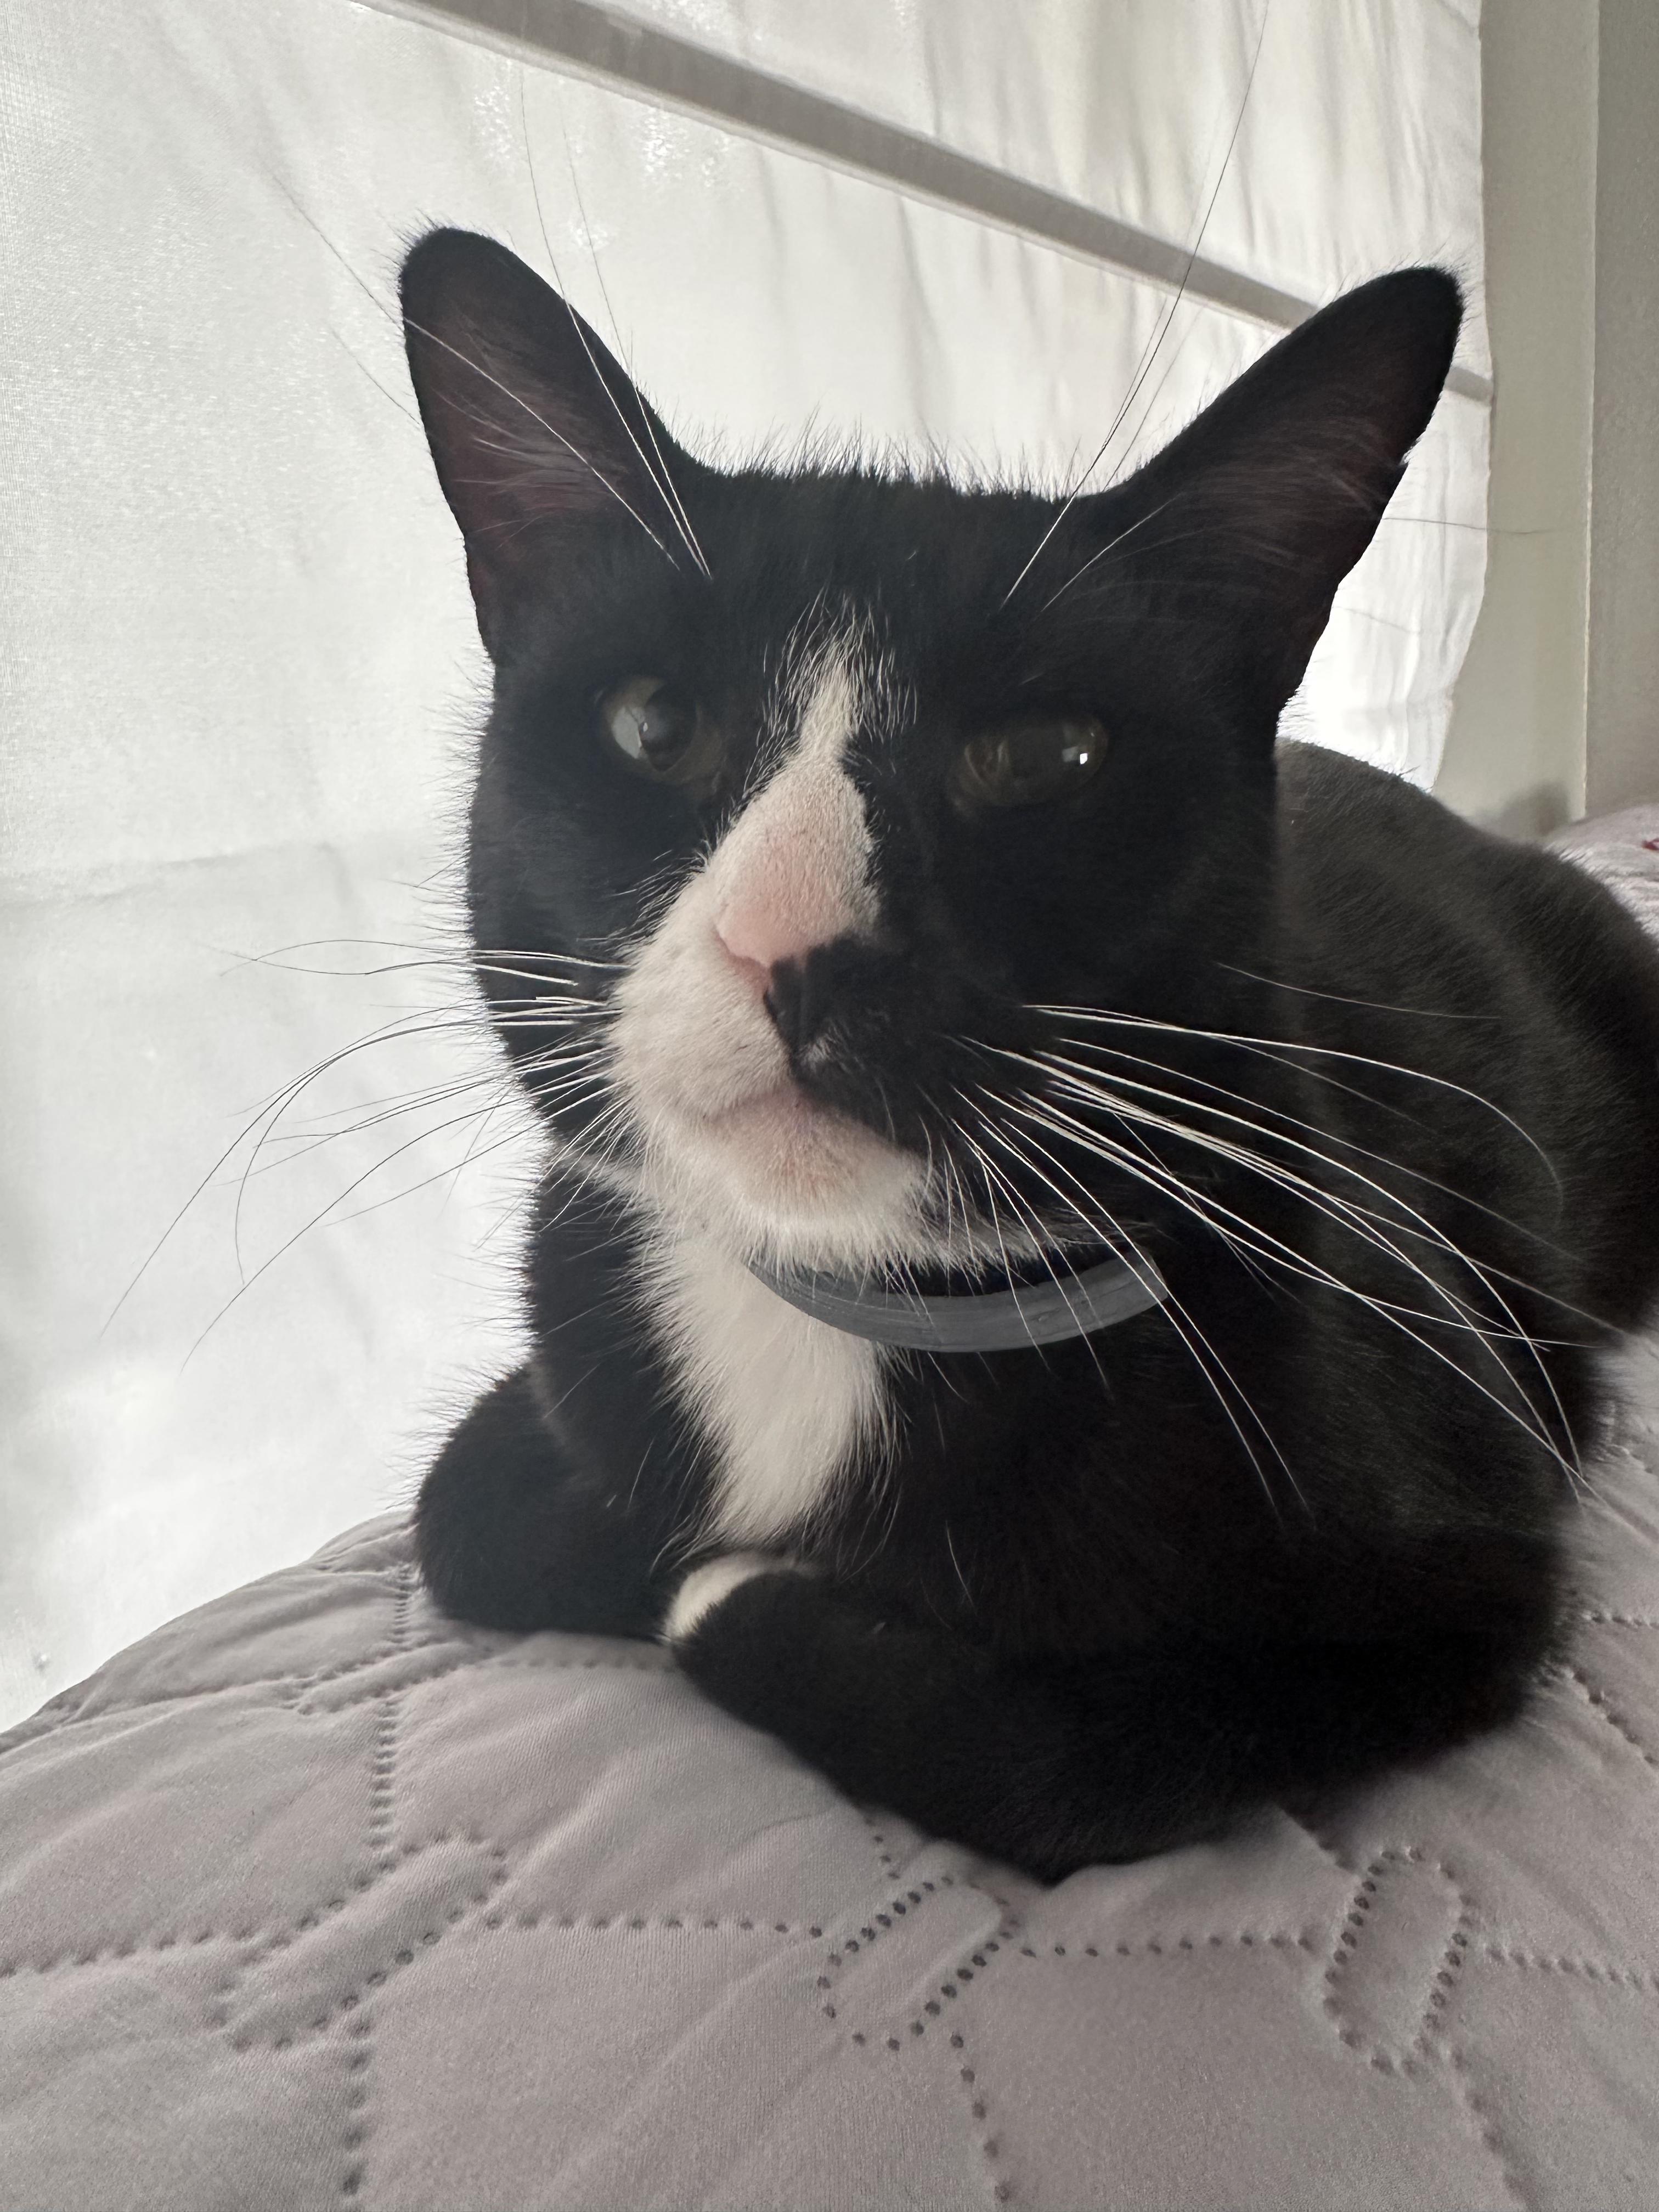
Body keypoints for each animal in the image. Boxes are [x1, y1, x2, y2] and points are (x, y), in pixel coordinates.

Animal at [400, 228, 1659, 1880]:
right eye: (654, 722)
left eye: (1046, 756)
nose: (789, 940)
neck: (855, 1307)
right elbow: (459, 1513)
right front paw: (647, 1548)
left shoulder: (1465, 1566)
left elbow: (1083, 1760)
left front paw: (730, 1593)